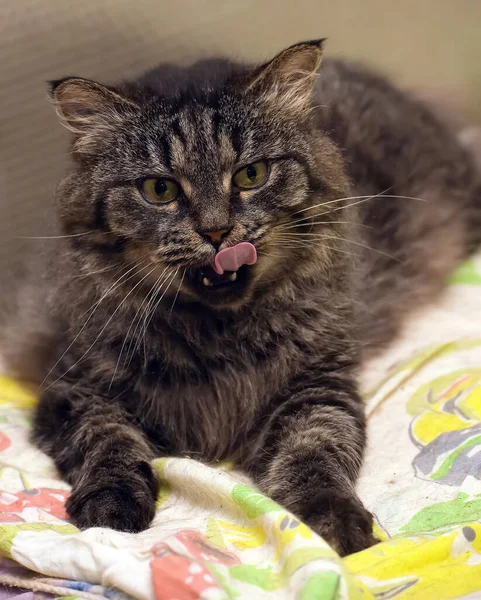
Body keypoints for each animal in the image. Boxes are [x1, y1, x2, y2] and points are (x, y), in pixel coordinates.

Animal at [1, 39, 478, 556]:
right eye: (159, 189)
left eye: (251, 175)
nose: (216, 232)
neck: (218, 335)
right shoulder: (74, 388)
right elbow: (108, 441)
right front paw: (111, 506)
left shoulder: (316, 386)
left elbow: (314, 453)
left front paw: (336, 523)